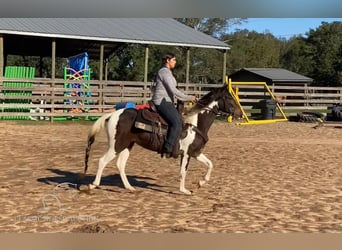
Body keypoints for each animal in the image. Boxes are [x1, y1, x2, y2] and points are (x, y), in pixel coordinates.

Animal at [81, 84, 240, 195]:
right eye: (229, 98)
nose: (240, 113)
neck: (195, 124)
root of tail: (112, 115)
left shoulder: (195, 152)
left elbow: (210, 164)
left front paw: (201, 182)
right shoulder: (186, 154)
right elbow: (183, 172)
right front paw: (184, 190)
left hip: (128, 145)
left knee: (120, 164)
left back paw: (130, 187)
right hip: (116, 145)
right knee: (102, 161)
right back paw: (92, 185)